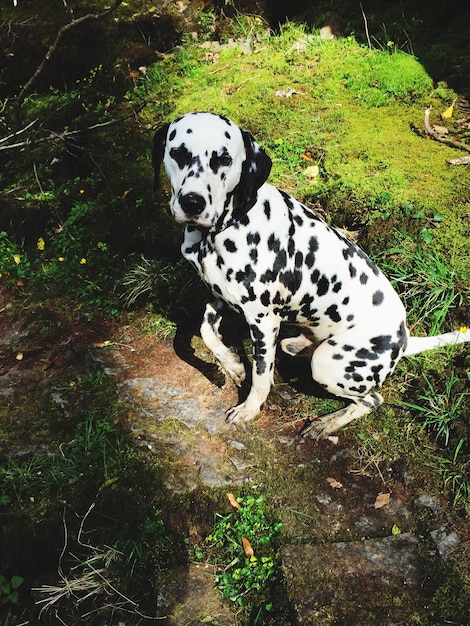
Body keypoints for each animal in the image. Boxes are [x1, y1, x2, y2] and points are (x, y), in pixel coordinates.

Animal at [153, 109, 466, 436]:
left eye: (223, 158)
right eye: (178, 153)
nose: (192, 202)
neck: (221, 230)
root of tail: (403, 340)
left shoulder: (262, 321)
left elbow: (261, 375)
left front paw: (250, 408)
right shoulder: (219, 296)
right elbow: (206, 331)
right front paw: (232, 364)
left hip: (330, 364)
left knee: (371, 399)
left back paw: (329, 422)